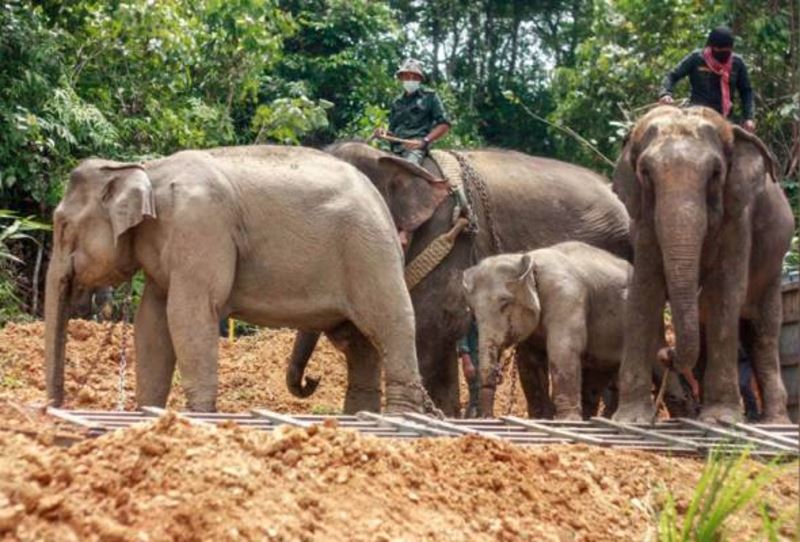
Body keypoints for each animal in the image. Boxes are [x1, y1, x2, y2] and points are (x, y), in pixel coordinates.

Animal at [44, 146, 426, 413]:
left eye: (62, 226)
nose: (57, 406)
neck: (144, 169)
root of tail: (380, 201)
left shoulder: (199, 225)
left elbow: (189, 314)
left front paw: (197, 416)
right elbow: (151, 322)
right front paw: (148, 413)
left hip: (371, 254)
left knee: (391, 325)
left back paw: (397, 418)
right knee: (359, 346)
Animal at [462, 241, 692, 419]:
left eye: (505, 303)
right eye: (471, 310)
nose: (487, 417)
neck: (527, 258)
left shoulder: (566, 295)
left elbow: (563, 349)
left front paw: (565, 421)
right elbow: (530, 361)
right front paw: (541, 418)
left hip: (652, 319)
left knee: (657, 362)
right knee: (596, 378)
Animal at [612, 106, 795, 424]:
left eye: (716, 174)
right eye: (645, 173)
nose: (667, 353)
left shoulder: (738, 218)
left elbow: (724, 292)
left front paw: (721, 418)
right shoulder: (643, 223)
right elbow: (643, 292)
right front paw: (630, 420)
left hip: (773, 268)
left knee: (764, 329)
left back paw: (774, 422)